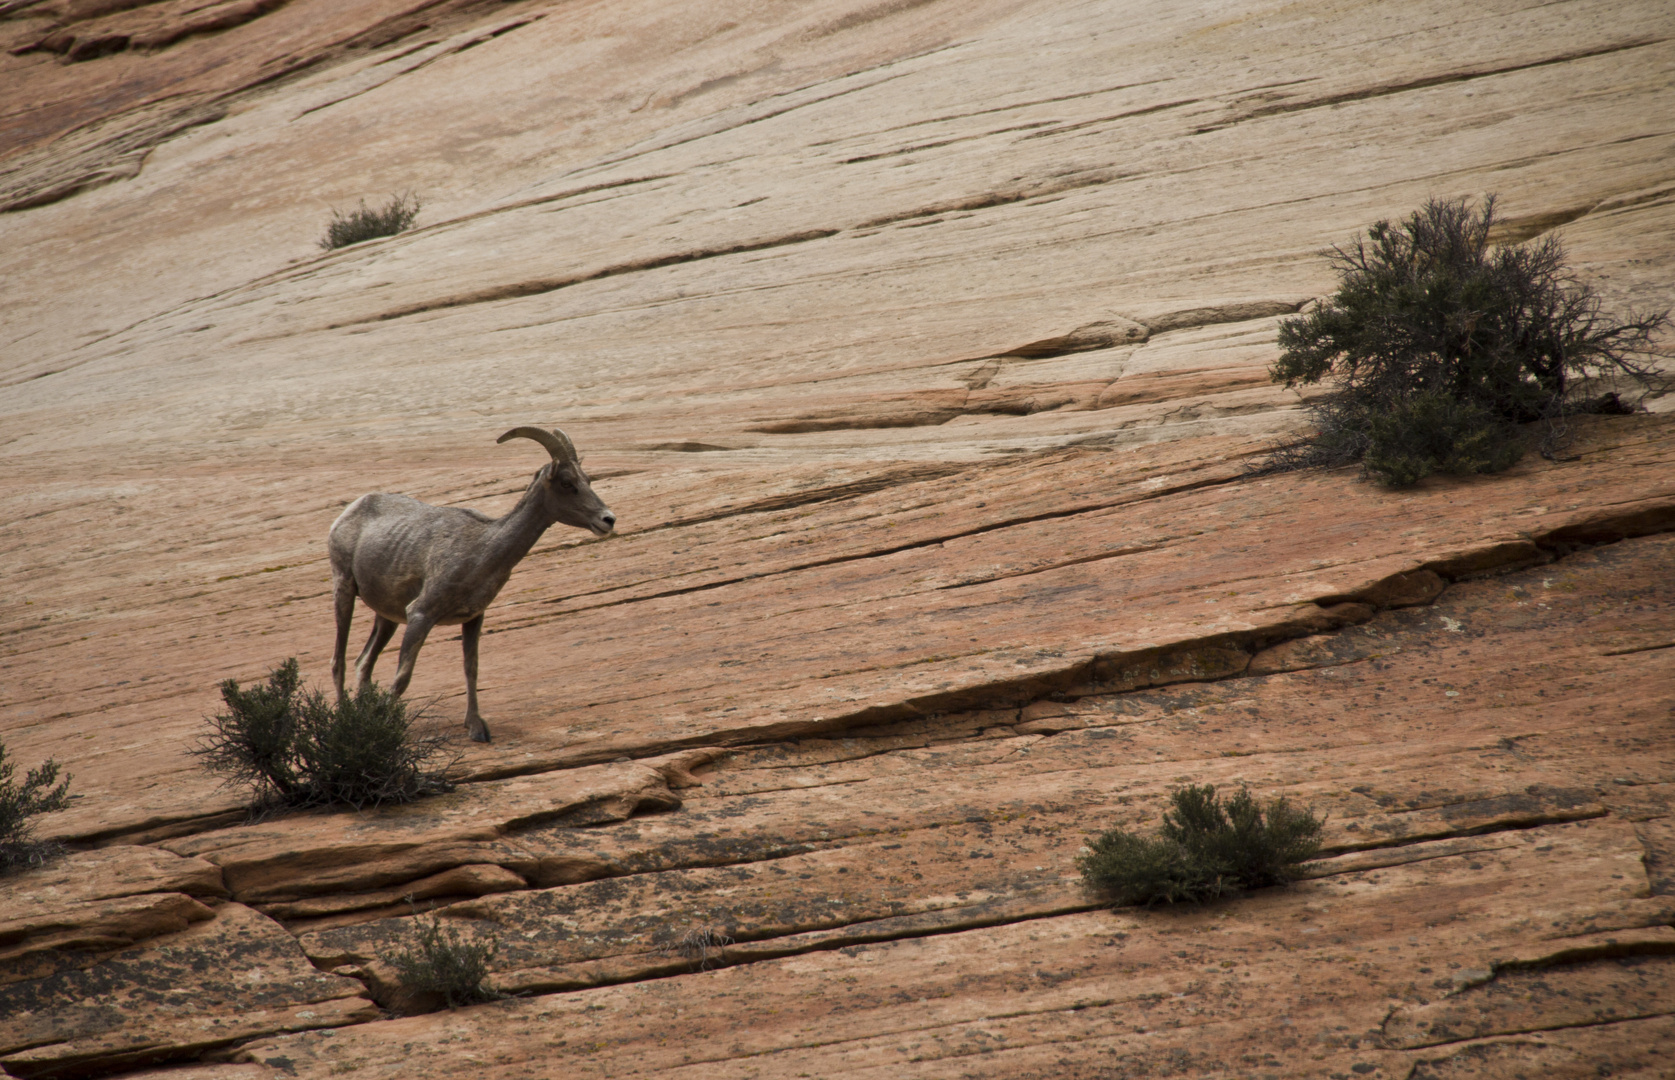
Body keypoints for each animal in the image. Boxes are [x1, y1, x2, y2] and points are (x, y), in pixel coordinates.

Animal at [328, 423, 616, 740]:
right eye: (567, 483)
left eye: (587, 479)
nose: (608, 520)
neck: (481, 550)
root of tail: (348, 512)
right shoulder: (421, 615)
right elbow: (403, 677)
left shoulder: (473, 619)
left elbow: (471, 669)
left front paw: (476, 728)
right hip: (344, 589)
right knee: (339, 661)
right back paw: (343, 721)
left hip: (387, 617)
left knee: (364, 663)